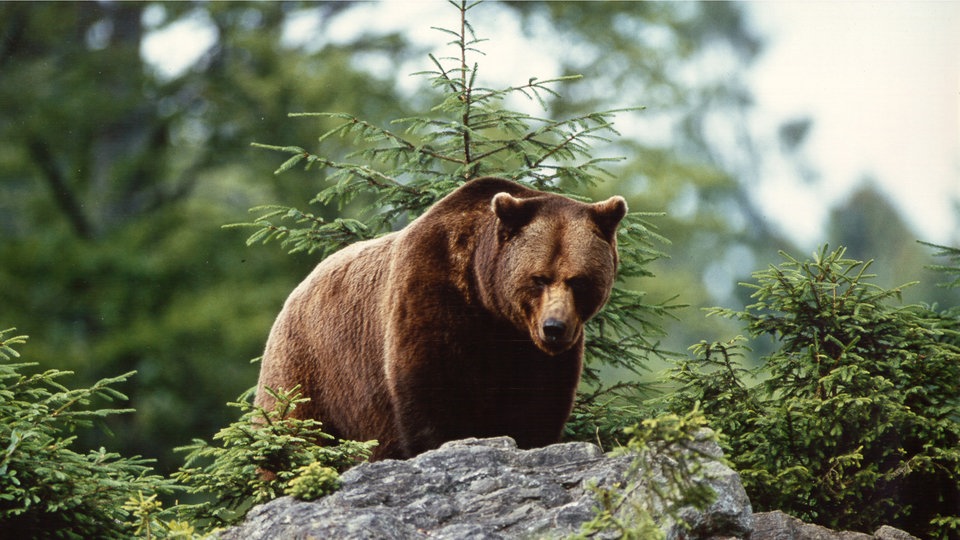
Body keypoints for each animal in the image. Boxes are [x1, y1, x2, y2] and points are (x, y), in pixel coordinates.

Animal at [256, 178, 632, 460]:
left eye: (579, 280)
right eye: (538, 278)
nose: (554, 328)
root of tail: (295, 292)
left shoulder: (536, 355)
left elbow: (538, 406)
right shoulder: (431, 297)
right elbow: (432, 397)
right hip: (309, 371)